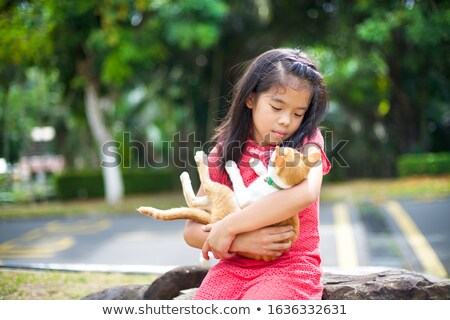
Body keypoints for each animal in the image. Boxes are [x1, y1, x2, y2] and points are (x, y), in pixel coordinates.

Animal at [137, 146, 320, 262]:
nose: (273, 148)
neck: (278, 186)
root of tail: (213, 221)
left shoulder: (244, 198)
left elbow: (239, 179)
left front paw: (233, 167)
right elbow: (264, 171)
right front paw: (256, 163)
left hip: (226, 193)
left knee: (200, 193)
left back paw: (197, 163)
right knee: (195, 202)